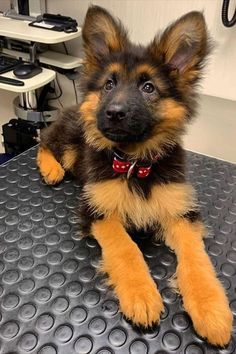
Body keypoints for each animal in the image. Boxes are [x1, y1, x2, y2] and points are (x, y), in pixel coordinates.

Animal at [37, 6, 232, 346]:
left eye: (148, 87)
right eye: (109, 84)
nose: (113, 112)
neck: (134, 163)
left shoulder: (181, 213)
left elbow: (197, 259)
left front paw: (212, 308)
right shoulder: (97, 210)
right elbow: (125, 248)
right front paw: (140, 294)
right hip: (72, 143)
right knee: (44, 141)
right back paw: (51, 168)